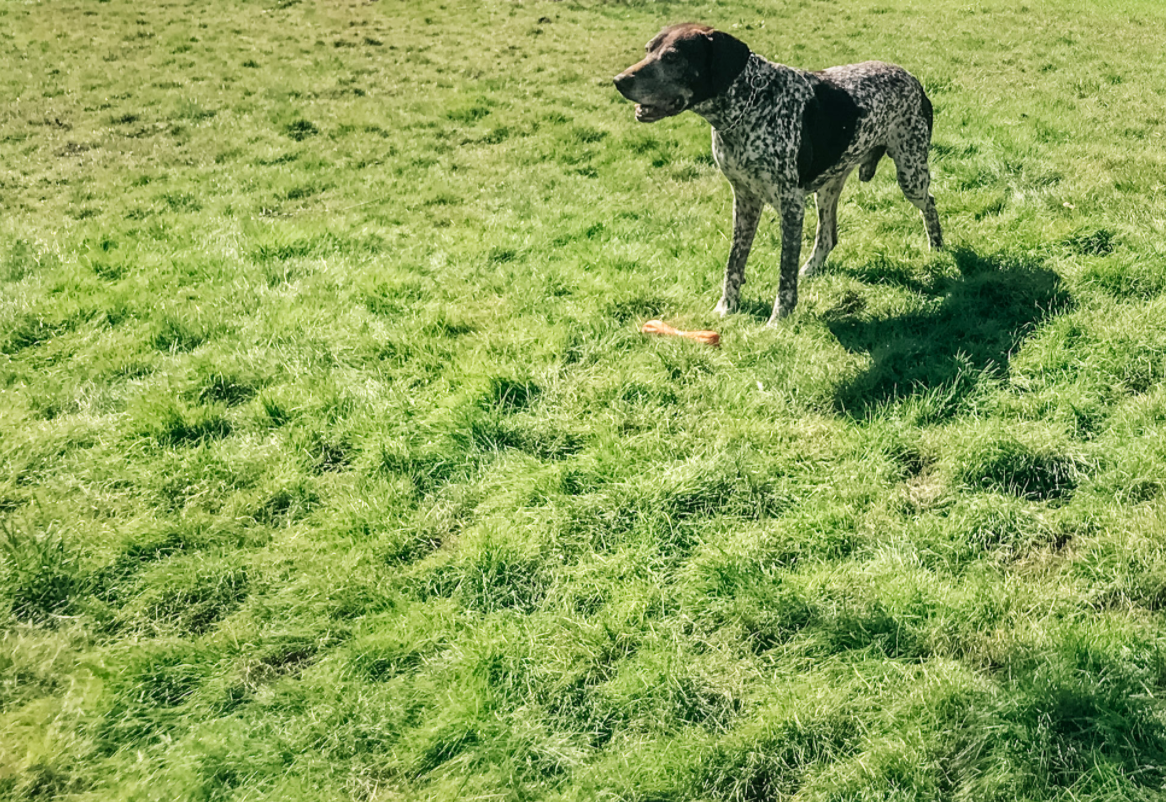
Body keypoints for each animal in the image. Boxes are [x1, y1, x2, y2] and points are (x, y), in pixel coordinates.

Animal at [615, 22, 942, 321]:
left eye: (672, 57)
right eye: (648, 50)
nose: (618, 81)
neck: (748, 105)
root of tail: (913, 79)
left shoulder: (791, 205)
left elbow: (785, 271)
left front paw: (779, 319)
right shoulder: (744, 200)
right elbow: (734, 262)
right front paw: (726, 307)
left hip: (910, 173)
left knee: (930, 204)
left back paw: (937, 250)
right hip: (829, 185)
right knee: (827, 235)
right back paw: (812, 267)